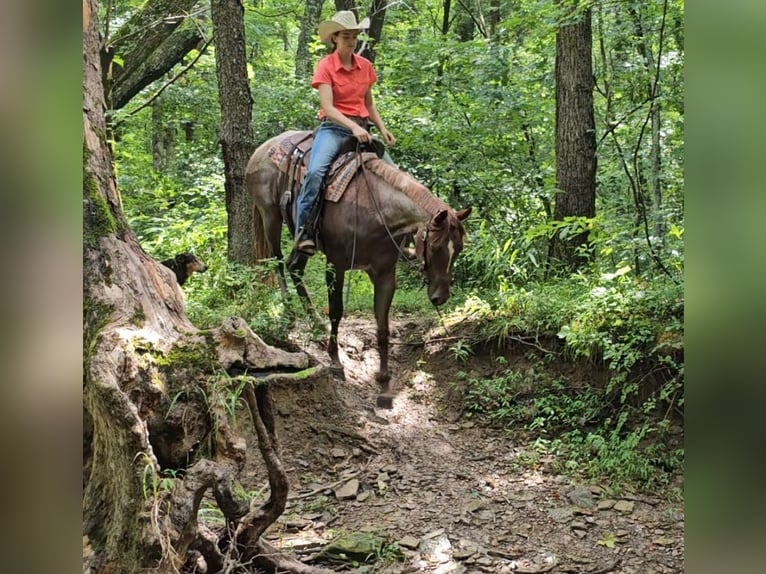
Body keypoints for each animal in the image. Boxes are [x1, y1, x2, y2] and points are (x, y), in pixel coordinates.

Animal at [249, 130, 472, 410]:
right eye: (436, 245)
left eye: (459, 248)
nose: (440, 297)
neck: (375, 211)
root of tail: (261, 149)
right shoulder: (336, 264)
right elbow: (336, 311)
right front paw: (335, 363)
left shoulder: (385, 274)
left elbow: (383, 327)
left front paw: (384, 385)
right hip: (270, 216)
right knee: (279, 262)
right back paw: (289, 313)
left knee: (294, 267)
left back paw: (314, 321)